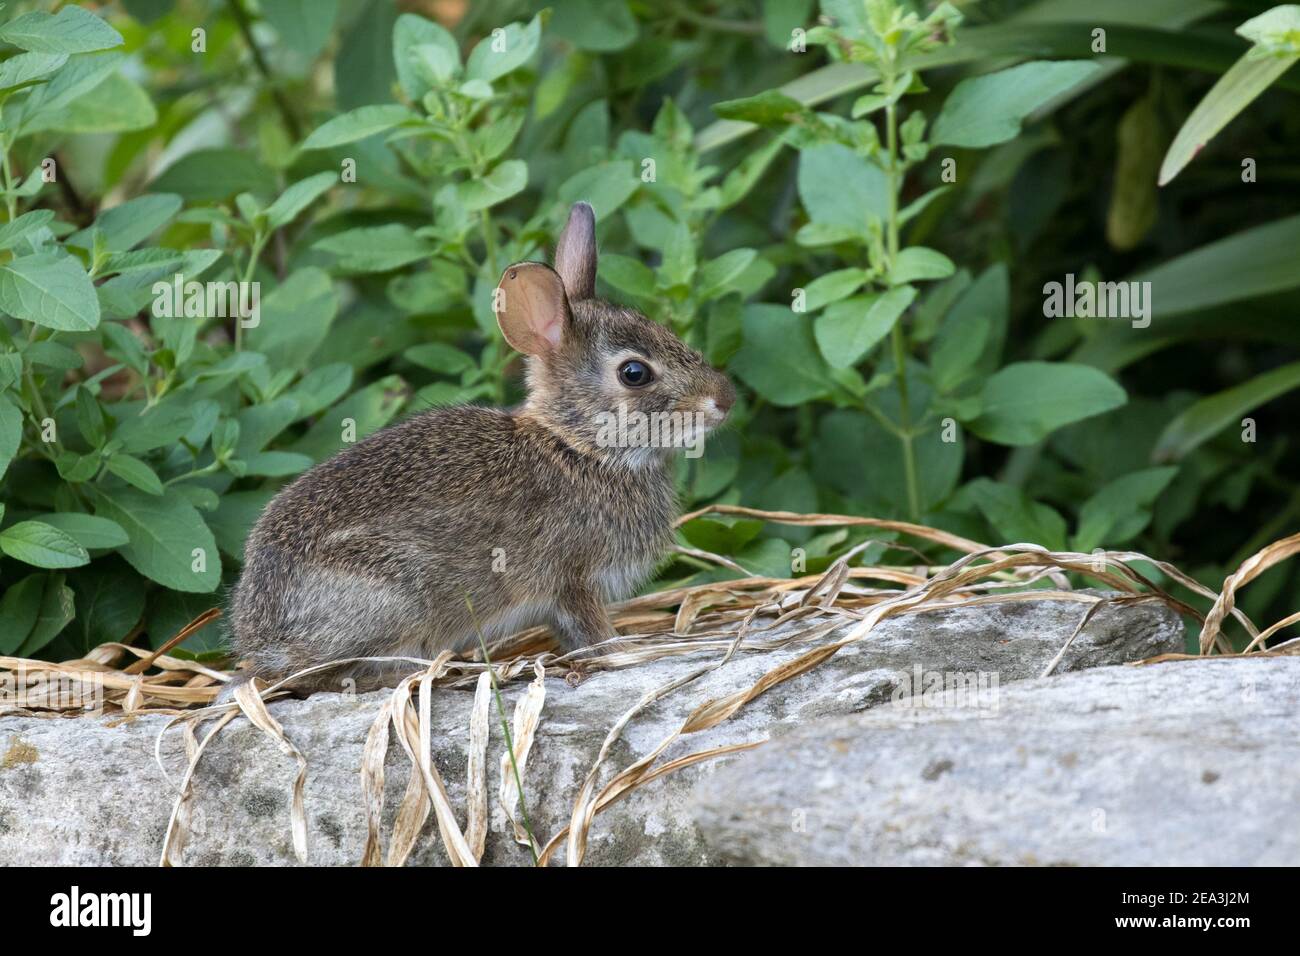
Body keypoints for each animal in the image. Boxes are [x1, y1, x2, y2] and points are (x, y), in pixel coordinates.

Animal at [225, 202, 735, 695]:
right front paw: (622, 651)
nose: (725, 399)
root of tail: (262, 637)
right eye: (634, 373)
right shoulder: (573, 580)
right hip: (395, 598)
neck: (578, 447)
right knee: (315, 675)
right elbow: (590, 632)